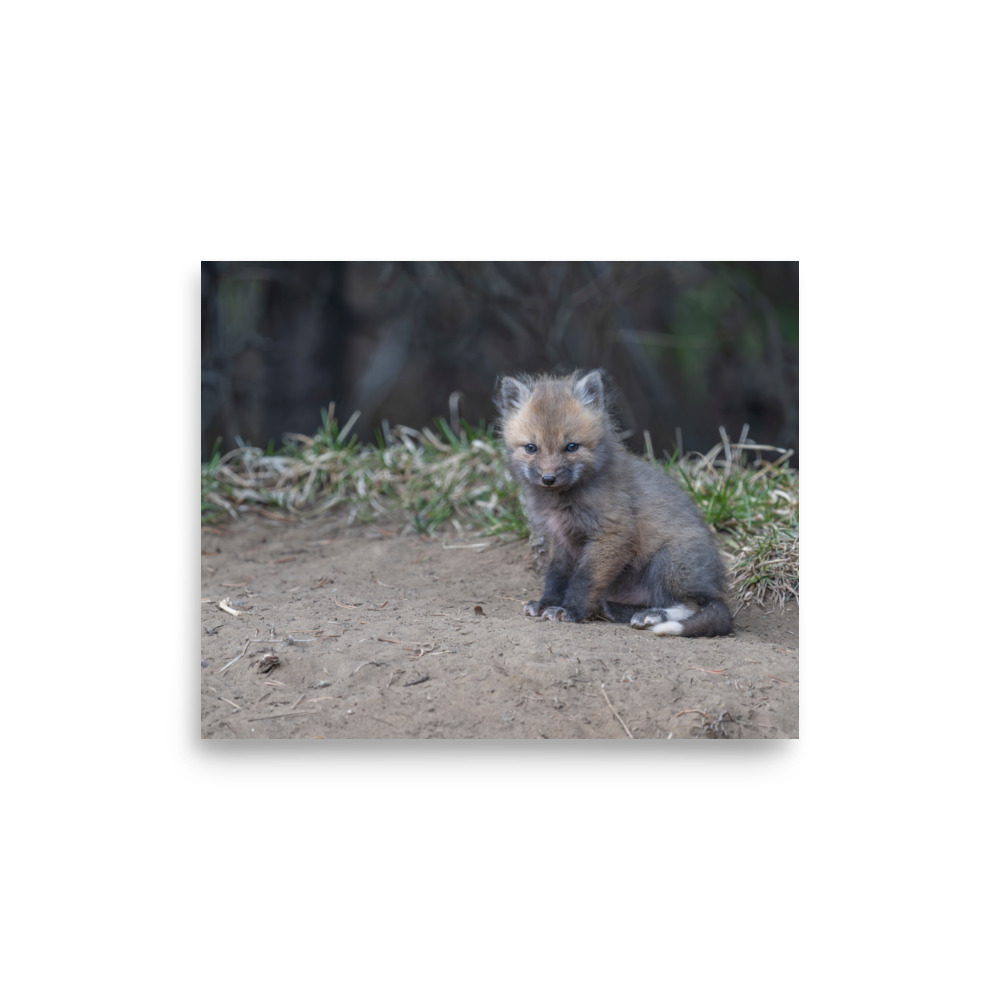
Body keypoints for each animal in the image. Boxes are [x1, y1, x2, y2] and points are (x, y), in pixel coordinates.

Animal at [494, 369, 732, 637]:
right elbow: (556, 576)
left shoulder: (612, 534)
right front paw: (547, 603)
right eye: (531, 448)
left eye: (571, 447)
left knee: (693, 604)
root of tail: (716, 587)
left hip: (668, 562)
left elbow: (584, 579)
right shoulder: (561, 539)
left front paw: (569, 611)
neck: (563, 502)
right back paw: (615, 609)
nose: (548, 478)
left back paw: (652, 616)